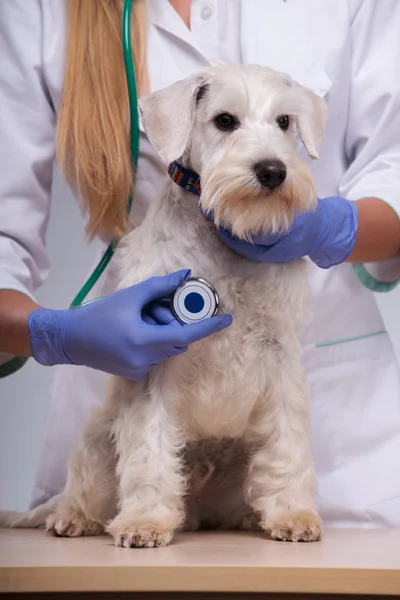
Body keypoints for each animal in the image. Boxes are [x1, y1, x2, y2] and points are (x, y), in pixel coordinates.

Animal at [0, 63, 324, 548]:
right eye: (224, 120)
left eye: (285, 121)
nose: (272, 170)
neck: (224, 238)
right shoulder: (156, 364)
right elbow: (149, 449)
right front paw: (144, 522)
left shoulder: (280, 354)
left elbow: (286, 441)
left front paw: (293, 513)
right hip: (98, 440)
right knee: (81, 490)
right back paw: (71, 517)